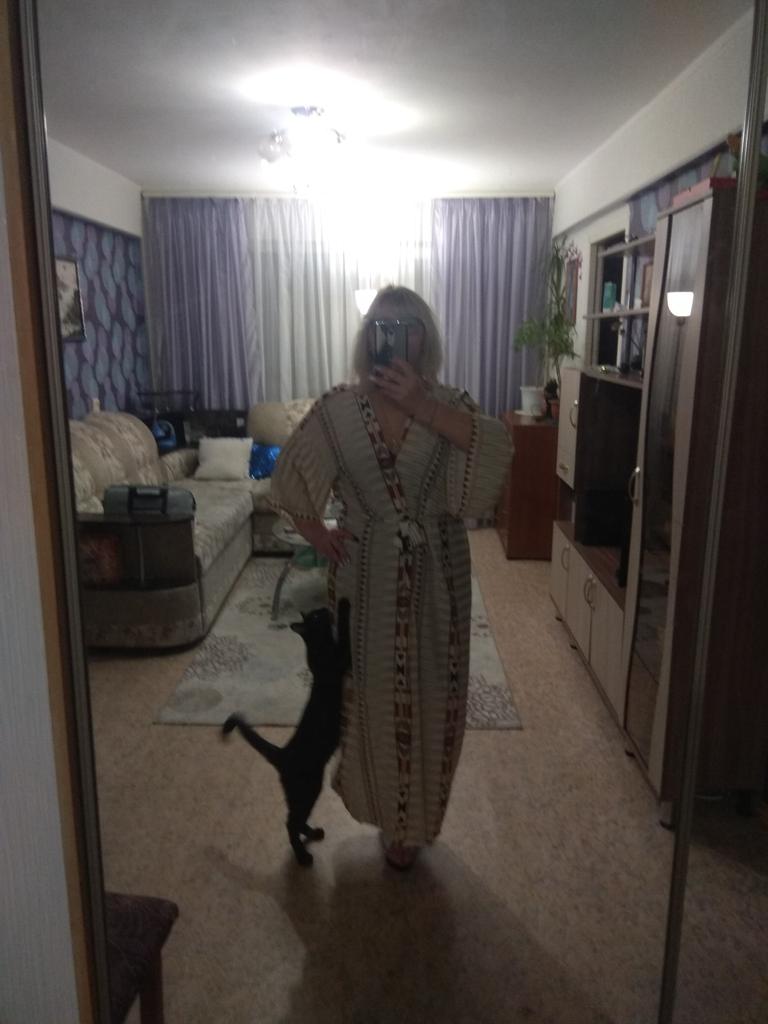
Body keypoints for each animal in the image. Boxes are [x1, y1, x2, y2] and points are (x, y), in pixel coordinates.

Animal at [222, 598, 351, 867]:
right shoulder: (340, 659)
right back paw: (303, 856)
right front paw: (345, 606)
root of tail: (283, 754)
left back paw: (314, 833)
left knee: (295, 819)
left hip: (304, 792)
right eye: (316, 616)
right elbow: (345, 635)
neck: (319, 647)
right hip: (309, 788)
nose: (325, 608)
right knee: (290, 822)